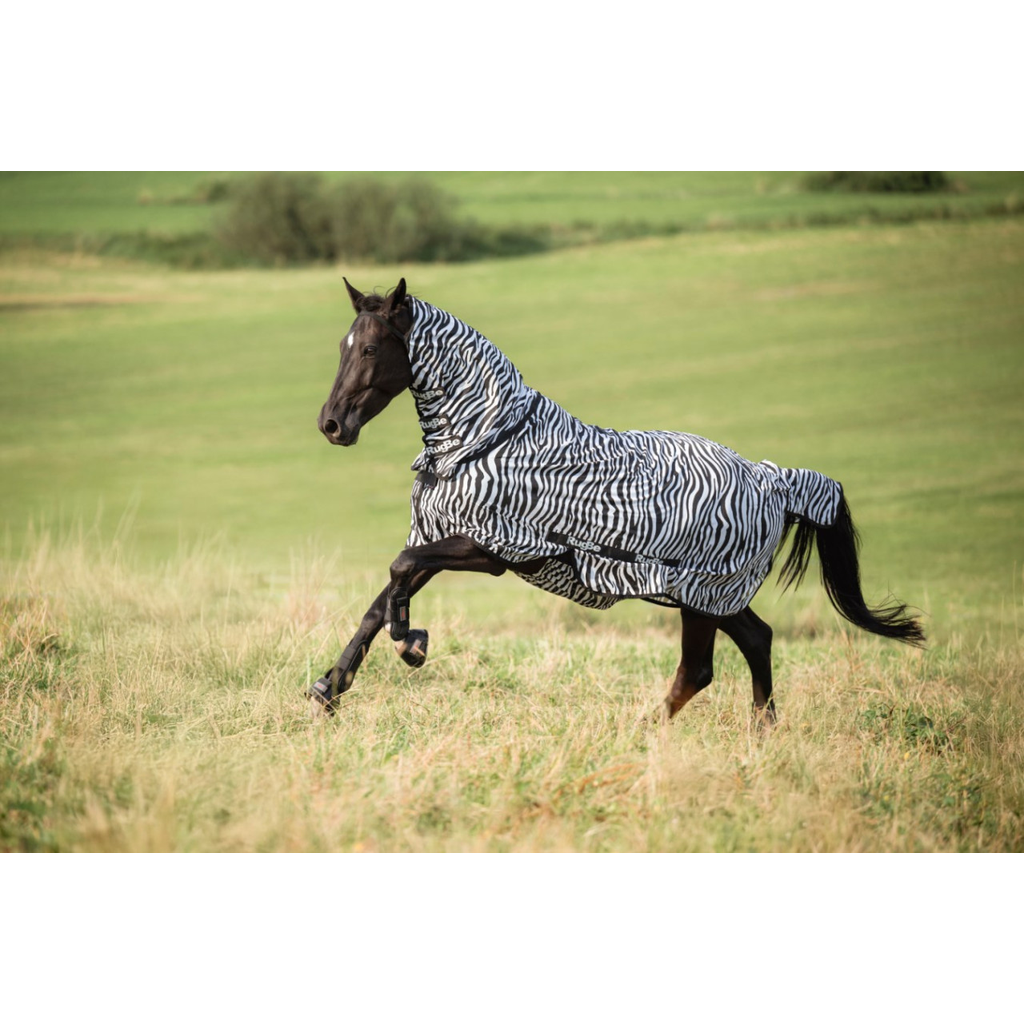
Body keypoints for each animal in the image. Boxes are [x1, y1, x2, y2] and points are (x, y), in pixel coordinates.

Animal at [311, 278, 924, 723]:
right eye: (342, 346)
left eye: (371, 348)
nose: (332, 425)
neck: (483, 439)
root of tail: (770, 479)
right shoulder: (440, 537)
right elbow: (379, 601)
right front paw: (329, 688)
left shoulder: (495, 549)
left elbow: (398, 572)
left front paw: (411, 644)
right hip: (708, 597)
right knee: (754, 640)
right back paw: (759, 732)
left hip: (701, 595)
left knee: (702, 667)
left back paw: (649, 733)